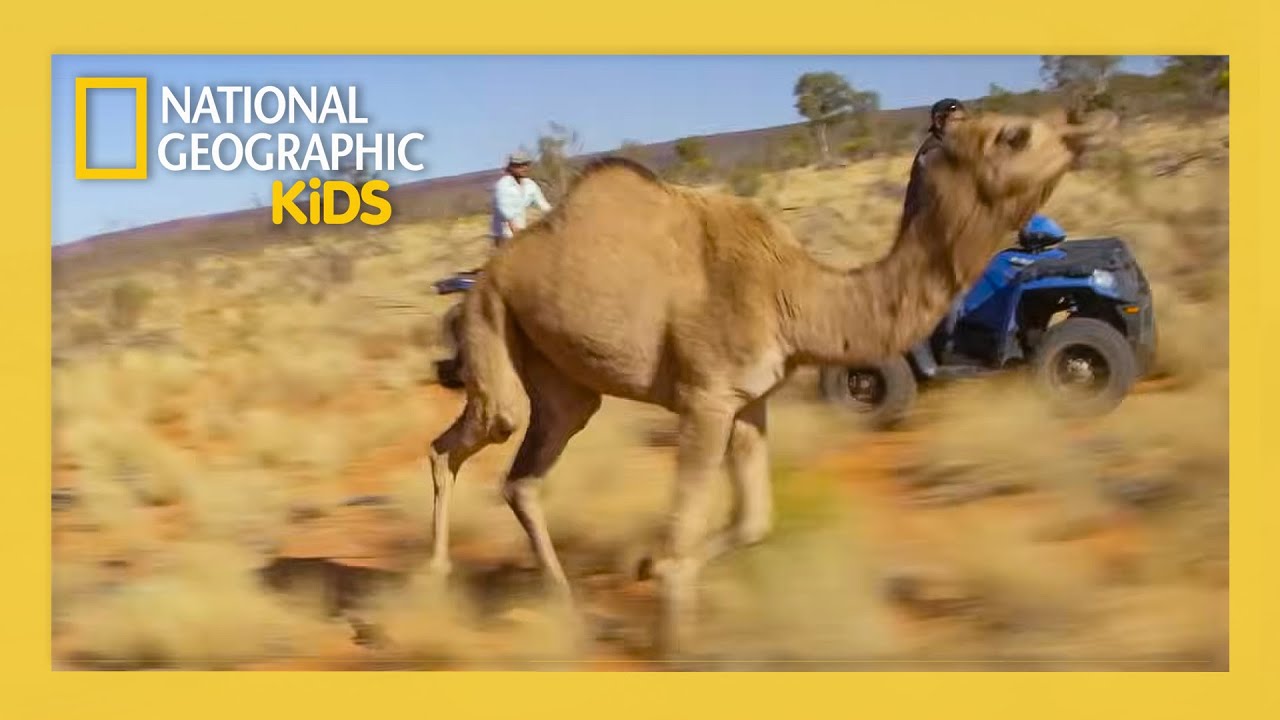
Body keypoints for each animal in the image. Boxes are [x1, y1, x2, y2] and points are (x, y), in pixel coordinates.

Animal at [424, 108, 1117, 656]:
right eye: (1014, 134)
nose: (1085, 124)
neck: (796, 294)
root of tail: (486, 271)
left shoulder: (751, 401)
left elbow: (754, 520)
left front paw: (648, 566)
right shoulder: (705, 399)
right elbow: (689, 523)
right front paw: (674, 633)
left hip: (566, 385)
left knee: (524, 476)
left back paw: (561, 597)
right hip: (492, 325)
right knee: (461, 441)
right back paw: (434, 575)